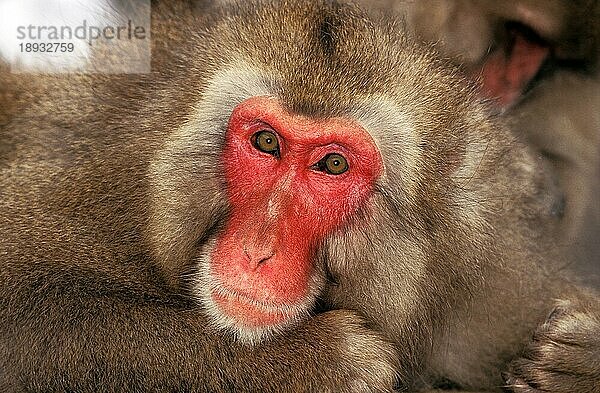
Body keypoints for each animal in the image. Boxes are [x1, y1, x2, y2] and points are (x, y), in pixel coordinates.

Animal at [1, 0, 600, 392]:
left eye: (332, 164)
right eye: (266, 142)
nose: (257, 251)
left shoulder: (494, 288)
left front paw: (580, 364)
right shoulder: (99, 168)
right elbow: (21, 309)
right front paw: (317, 363)